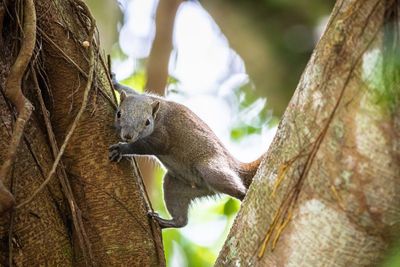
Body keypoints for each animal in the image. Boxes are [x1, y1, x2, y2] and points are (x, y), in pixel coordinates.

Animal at [108, 76, 262, 229]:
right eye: (119, 113)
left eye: (147, 122)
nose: (128, 136)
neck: (159, 114)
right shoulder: (141, 95)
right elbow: (130, 90)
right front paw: (115, 81)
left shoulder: (162, 137)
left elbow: (145, 147)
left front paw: (121, 149)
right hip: (176, 186)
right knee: (182, 221)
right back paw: (166, 222)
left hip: (212, 171)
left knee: (231, 184)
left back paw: (243, 195)